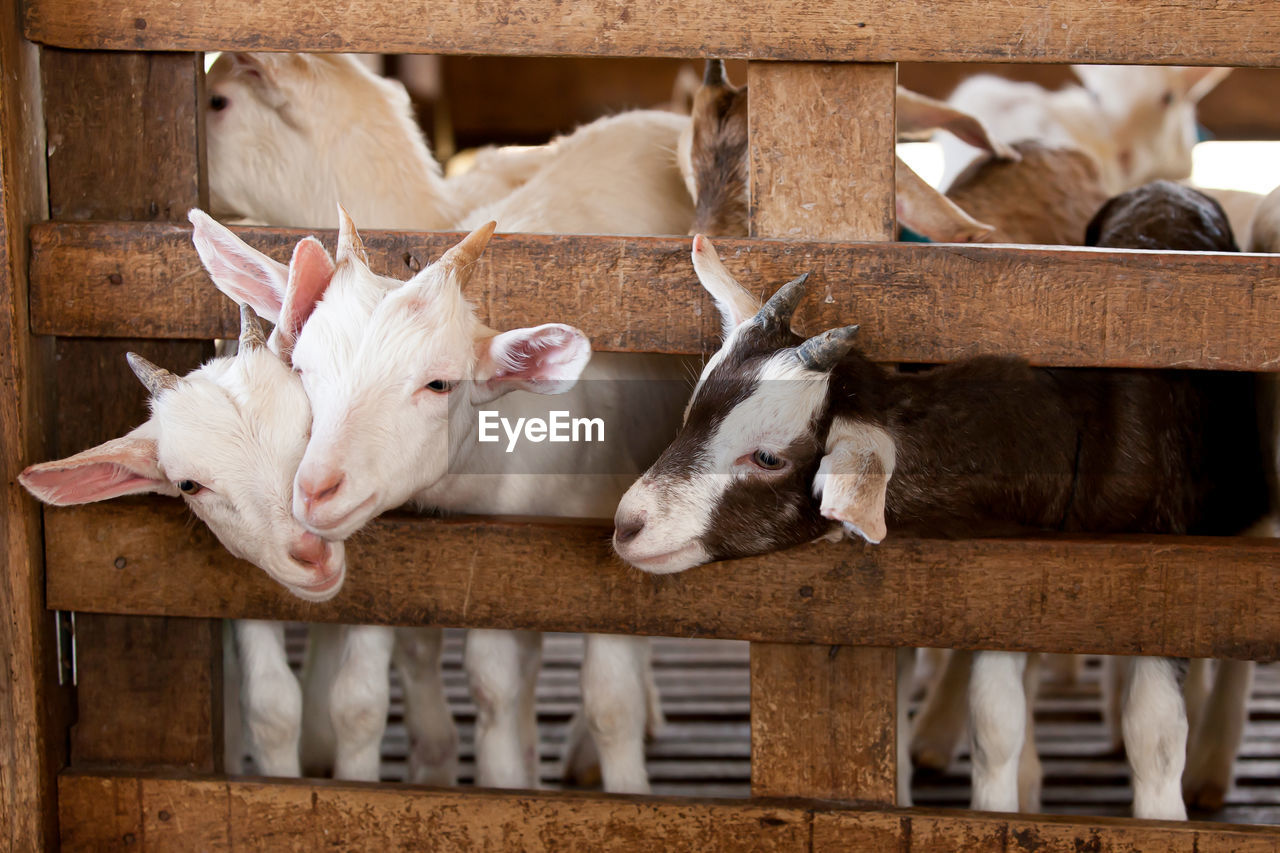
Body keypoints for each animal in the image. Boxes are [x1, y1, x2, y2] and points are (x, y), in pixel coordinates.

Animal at [616, 234, 1269, 819]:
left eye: (769, 457)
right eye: (691, 414)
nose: (628, 524)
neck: (1078, 423)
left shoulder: (1163, 582)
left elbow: (1155, 733)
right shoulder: (1008, 577)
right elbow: (995, 722)